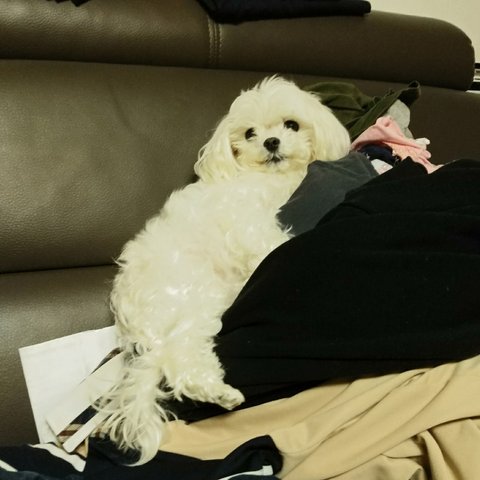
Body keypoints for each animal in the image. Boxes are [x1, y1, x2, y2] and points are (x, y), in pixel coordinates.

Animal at [99, 76, 351, 463]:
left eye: (291, 125)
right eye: (249, 133)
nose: (271, 142)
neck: (271, 179)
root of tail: (135, 324)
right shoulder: (245, 220)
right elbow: (269, 242)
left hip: (207, 305)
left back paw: (215, 391)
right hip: (191, 294)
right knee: (180, 356)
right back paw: (219, 393)